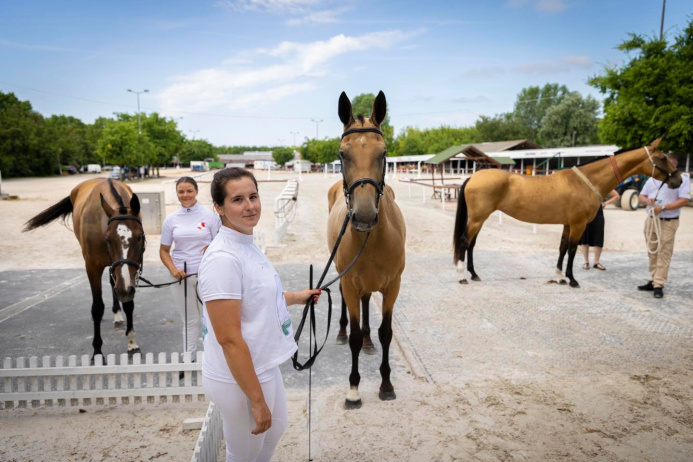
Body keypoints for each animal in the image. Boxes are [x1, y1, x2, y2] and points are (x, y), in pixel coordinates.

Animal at [23, 179, 145, 360]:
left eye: (139, 237)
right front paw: (97, 350)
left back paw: (117, 313)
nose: (123, 290)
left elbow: (129, 303)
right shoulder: (92, 267)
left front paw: (131, 342)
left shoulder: (130, 272)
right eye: (108, 239)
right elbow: (97, 308)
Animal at [454, 137, 680, 288]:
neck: (585, 182)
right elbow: (572, 250)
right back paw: (462, 276)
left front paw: (559, 276)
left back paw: (474, 274)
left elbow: (562, 248)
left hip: (479, 219)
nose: (678, 180)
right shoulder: (579, 224)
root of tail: (473, 177)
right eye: (662, 158)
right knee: (465, 241)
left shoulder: (568, 224)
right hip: (477, 219)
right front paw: (572, 279)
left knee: (471, 244)